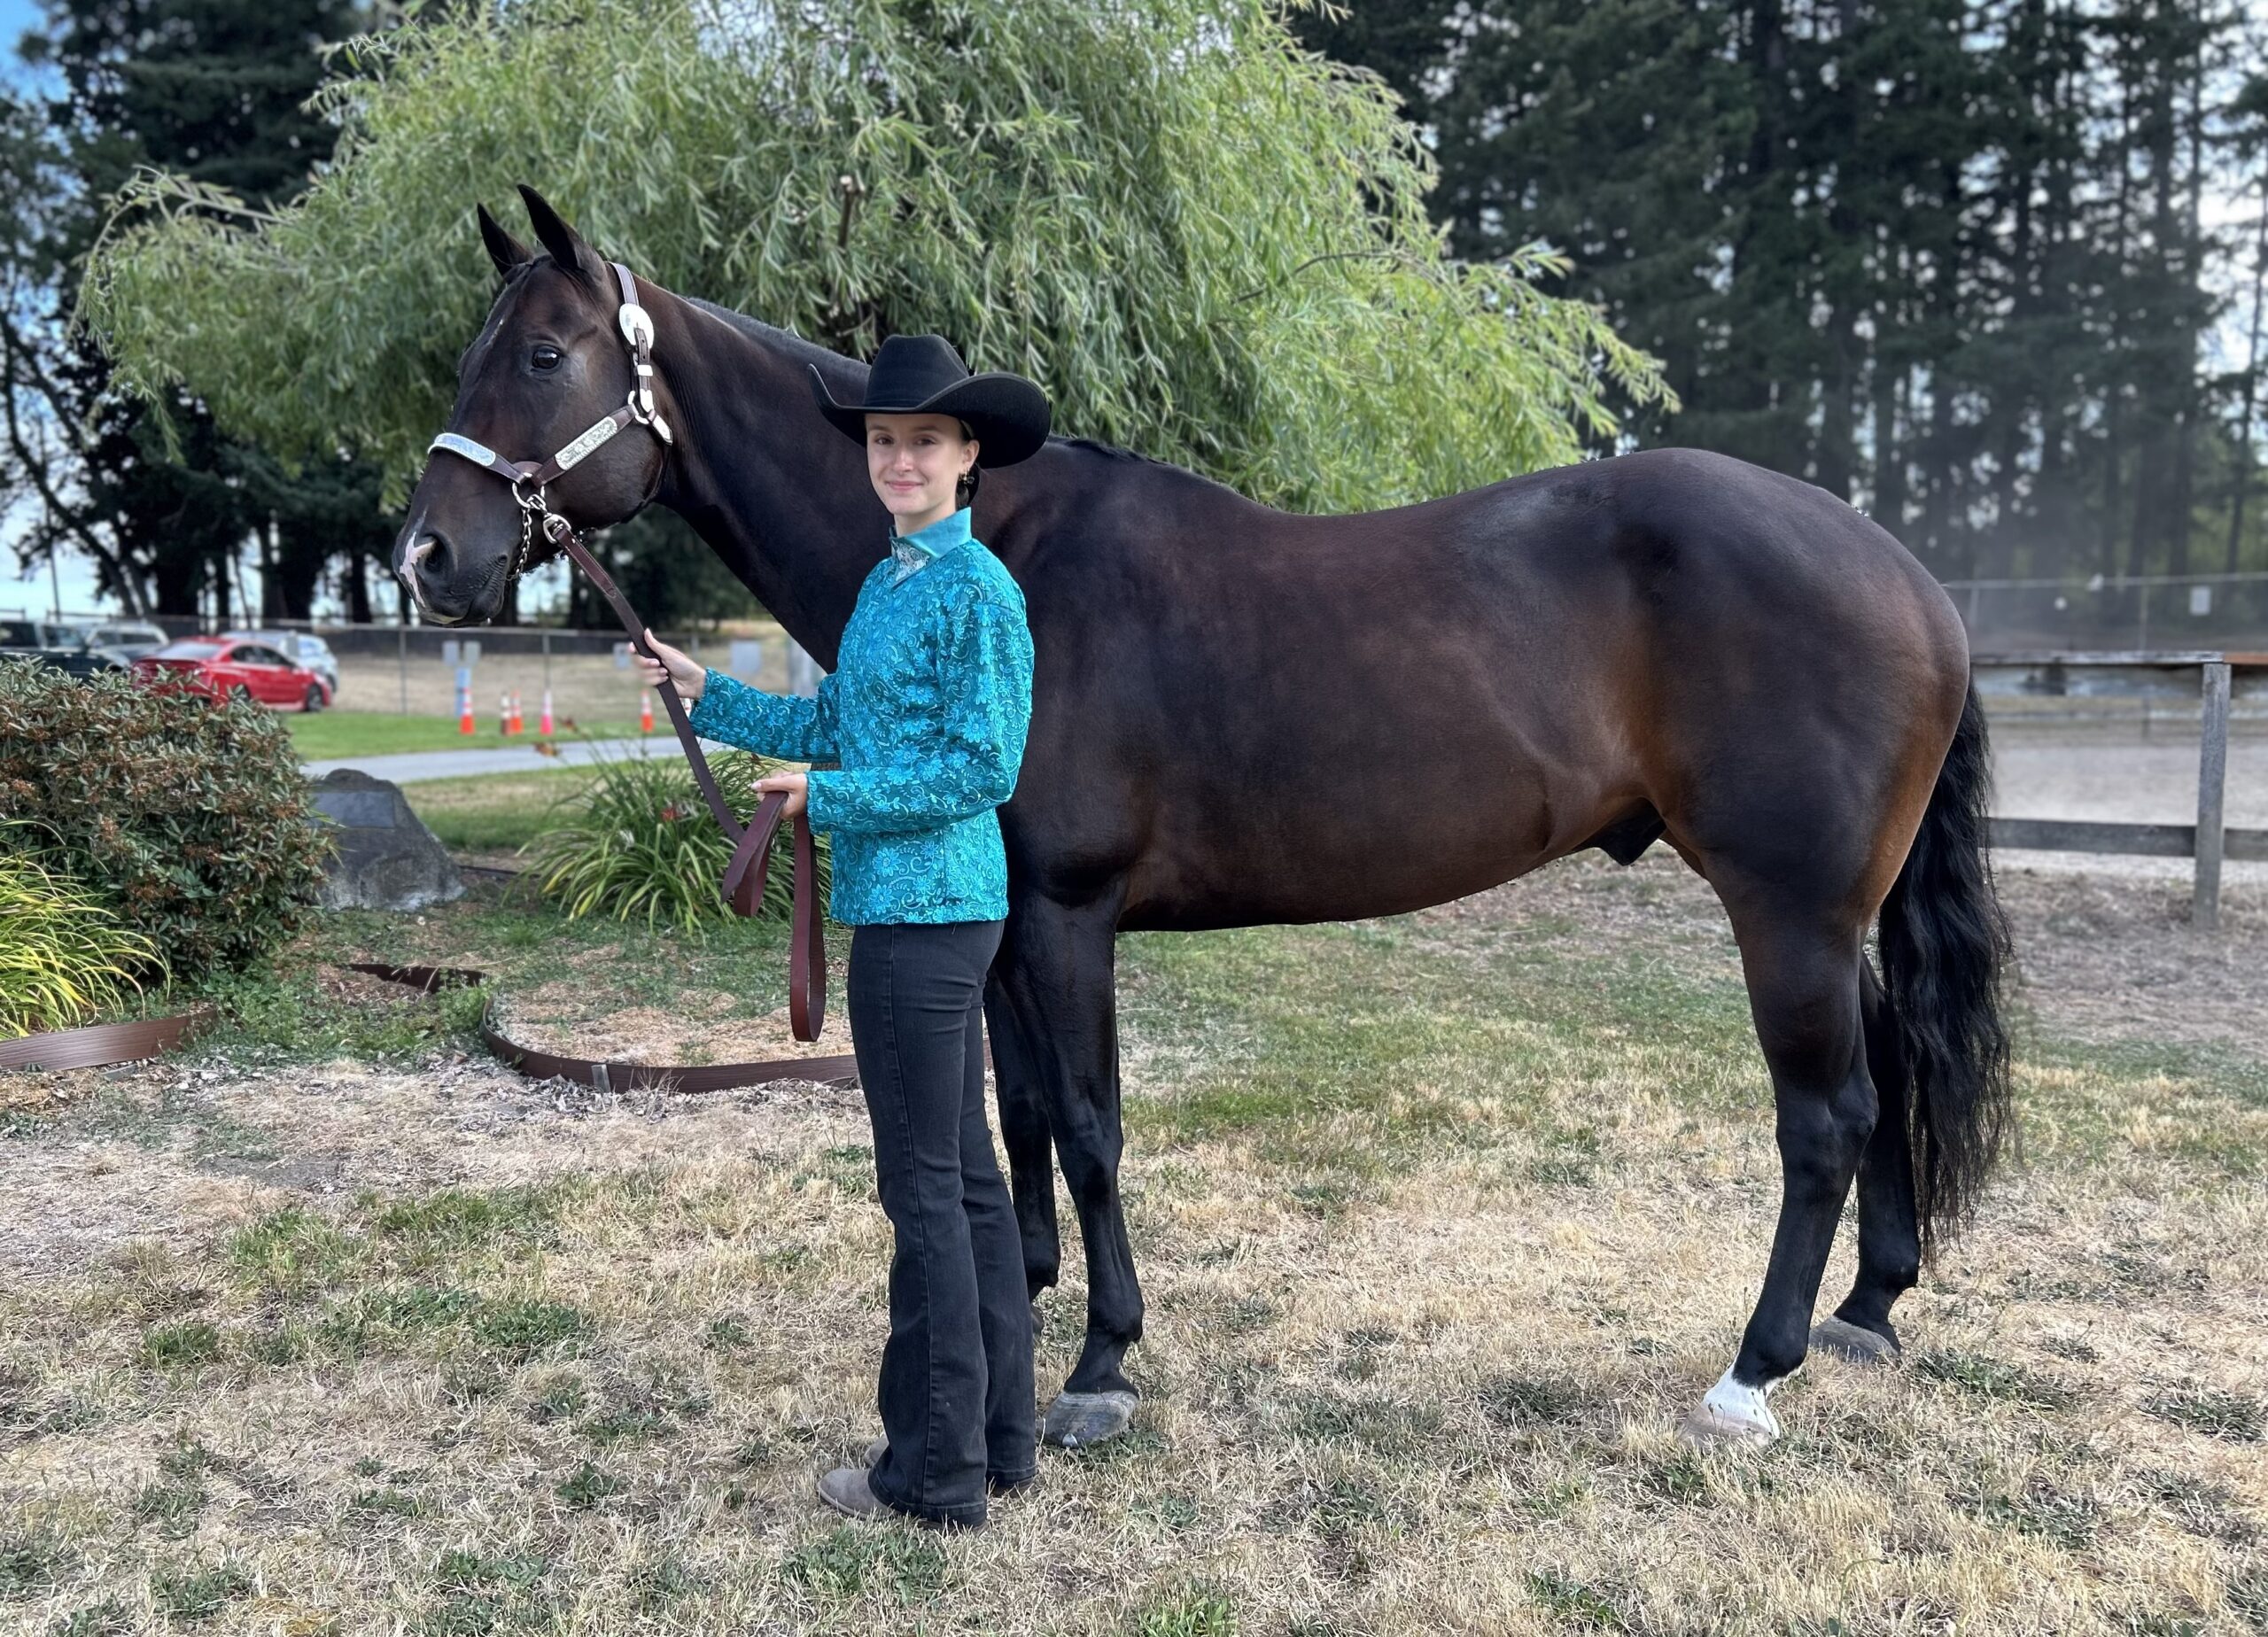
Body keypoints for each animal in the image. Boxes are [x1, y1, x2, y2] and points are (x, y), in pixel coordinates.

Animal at [394, 186, 2011, 1450]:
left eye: (543, 354)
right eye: (473, 355)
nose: (427, 558)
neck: (1002, 556)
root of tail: (1914, 577)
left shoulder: (1068, 918)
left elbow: (1092, 1122)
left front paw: (1103, 1364)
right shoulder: (999, 931)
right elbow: (1023, 1117)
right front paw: (1025, 1302)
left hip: (1786, 913)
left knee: (1826, 1116)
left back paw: (1753, 1372)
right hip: (1835, 919)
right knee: (1885, 1088)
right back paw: (1868, 1311)